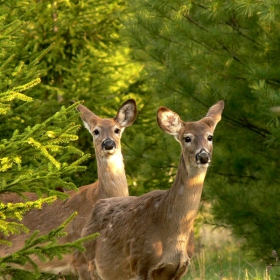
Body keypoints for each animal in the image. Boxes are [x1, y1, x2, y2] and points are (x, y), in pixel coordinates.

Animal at [80, 99, 223, 278]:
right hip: (87, 265)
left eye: (210, 137)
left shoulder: (180, 269)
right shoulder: (141, 263)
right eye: (187, 138)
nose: (203, 156)